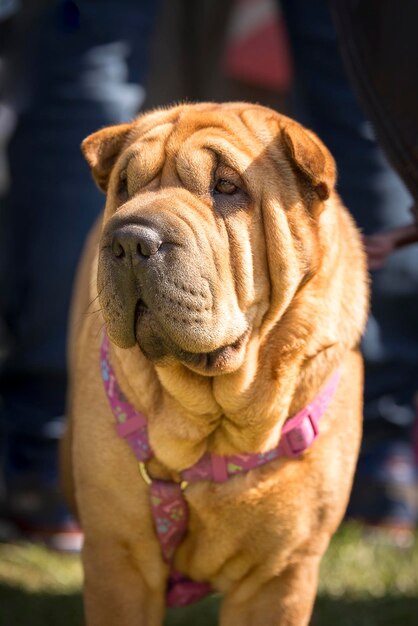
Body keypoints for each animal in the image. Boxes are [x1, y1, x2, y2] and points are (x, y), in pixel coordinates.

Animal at [60, 103, 368, 624]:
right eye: (124, 185)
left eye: (226, 186)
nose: (129, 239)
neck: (216, 423)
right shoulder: (118, 560)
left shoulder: (279, 576)